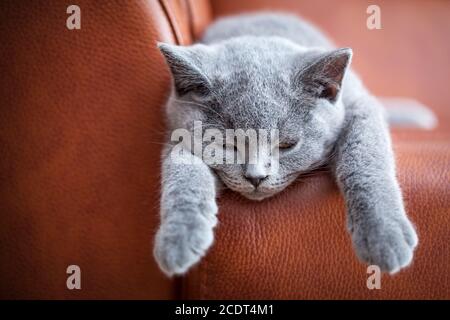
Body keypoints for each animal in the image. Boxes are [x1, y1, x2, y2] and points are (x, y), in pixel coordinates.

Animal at [154, 13, 418, 276]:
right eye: (227, 145)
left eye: (287, 145)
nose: (256, 177)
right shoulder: (174, 132)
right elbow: (182, 169)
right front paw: (179, 237)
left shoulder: (360, 106)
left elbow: (365, 154)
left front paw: (384, 235)